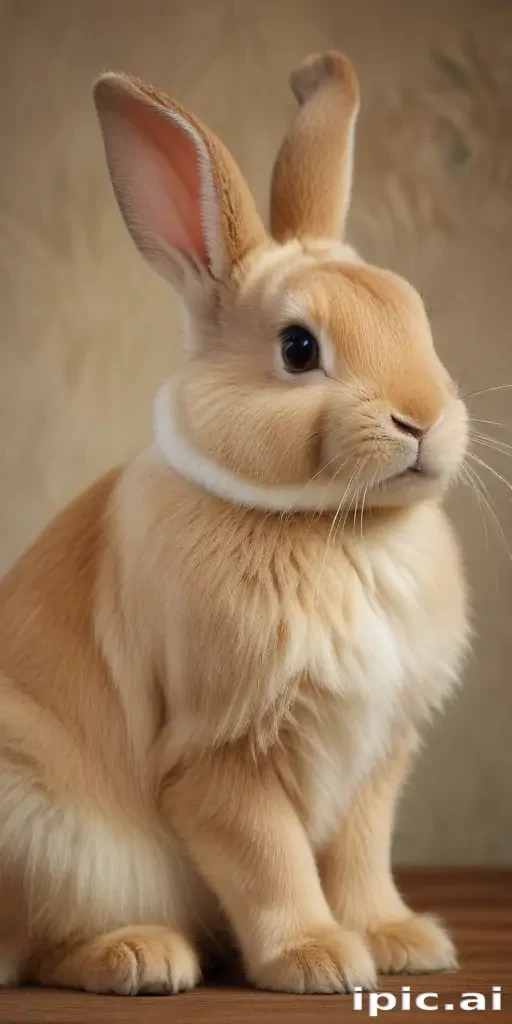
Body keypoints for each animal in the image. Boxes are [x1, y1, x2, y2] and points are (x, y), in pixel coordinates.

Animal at [0, 51, 469, 996]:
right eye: (298, 349)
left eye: (415, 316)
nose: (424, 419)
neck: (335, 528)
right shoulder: (220, 755)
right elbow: (270, 862)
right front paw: (318, 960)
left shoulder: (376, 760)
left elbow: (360, 859)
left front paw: (398, 940)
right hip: (53, 839)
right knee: (35, 949)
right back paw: (142, 956)